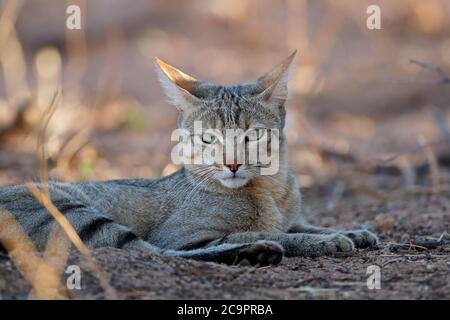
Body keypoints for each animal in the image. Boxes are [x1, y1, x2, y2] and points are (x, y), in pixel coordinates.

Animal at [0, 52, 378, 266]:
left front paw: (352, 231)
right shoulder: (183, 235)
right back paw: (256, 252)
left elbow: (301, 225)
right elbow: (267, 233)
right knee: (148, 252)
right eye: (208, 138)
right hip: (72, 214)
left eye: (252, 136)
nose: (232, 164)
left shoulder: (290, 216)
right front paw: (326, 240)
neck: (270, 191)